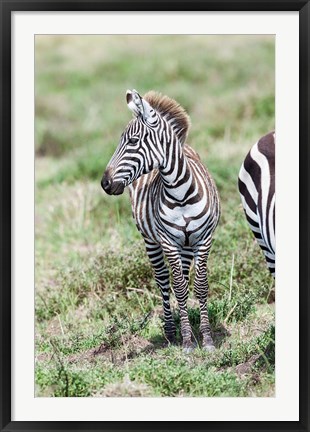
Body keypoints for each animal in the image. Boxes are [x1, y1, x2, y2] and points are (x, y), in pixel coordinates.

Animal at [101, 88, 220, 352]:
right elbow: (179, 287)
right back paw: (170, 330)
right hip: (151, 241)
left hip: (185, 245)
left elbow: (200, 286)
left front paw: (206, 338)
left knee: (181, 277)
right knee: (165, 280)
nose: (104, 183)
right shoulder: (167, 241)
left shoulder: (204, 239)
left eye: (133, 141)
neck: (181, 192)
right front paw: (187, 341)